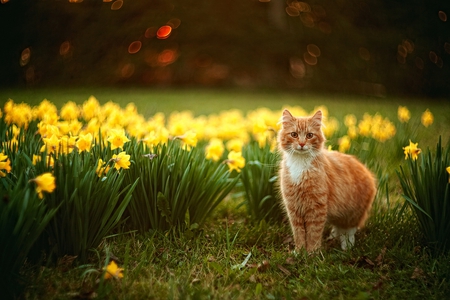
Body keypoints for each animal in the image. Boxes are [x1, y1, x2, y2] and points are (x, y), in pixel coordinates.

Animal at [278, 109, 376, 252]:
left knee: (349, 229)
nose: (301, 144)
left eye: (309, 135)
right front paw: (300, 252)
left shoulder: (317, 208)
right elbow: (299, 234)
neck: (300, 164)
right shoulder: (293, 208)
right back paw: (334, 236)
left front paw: (312, 252)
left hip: (353, 212)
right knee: (339, 227)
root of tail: (367, 172)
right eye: (294, 134)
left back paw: (346, 246)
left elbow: (313, 233)